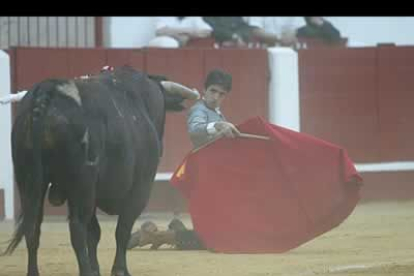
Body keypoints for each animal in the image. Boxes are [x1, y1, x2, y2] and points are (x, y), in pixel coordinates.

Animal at [2, 66, 197, 274]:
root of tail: (48, 92)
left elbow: (94, 232)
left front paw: (96, 268)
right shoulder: (140, 189)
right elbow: (122, 229)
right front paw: (119, 269)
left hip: (28, 180)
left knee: (32, 226)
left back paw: (35, 271)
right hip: (82, 183)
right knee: (77, 227)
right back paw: (85, 270)